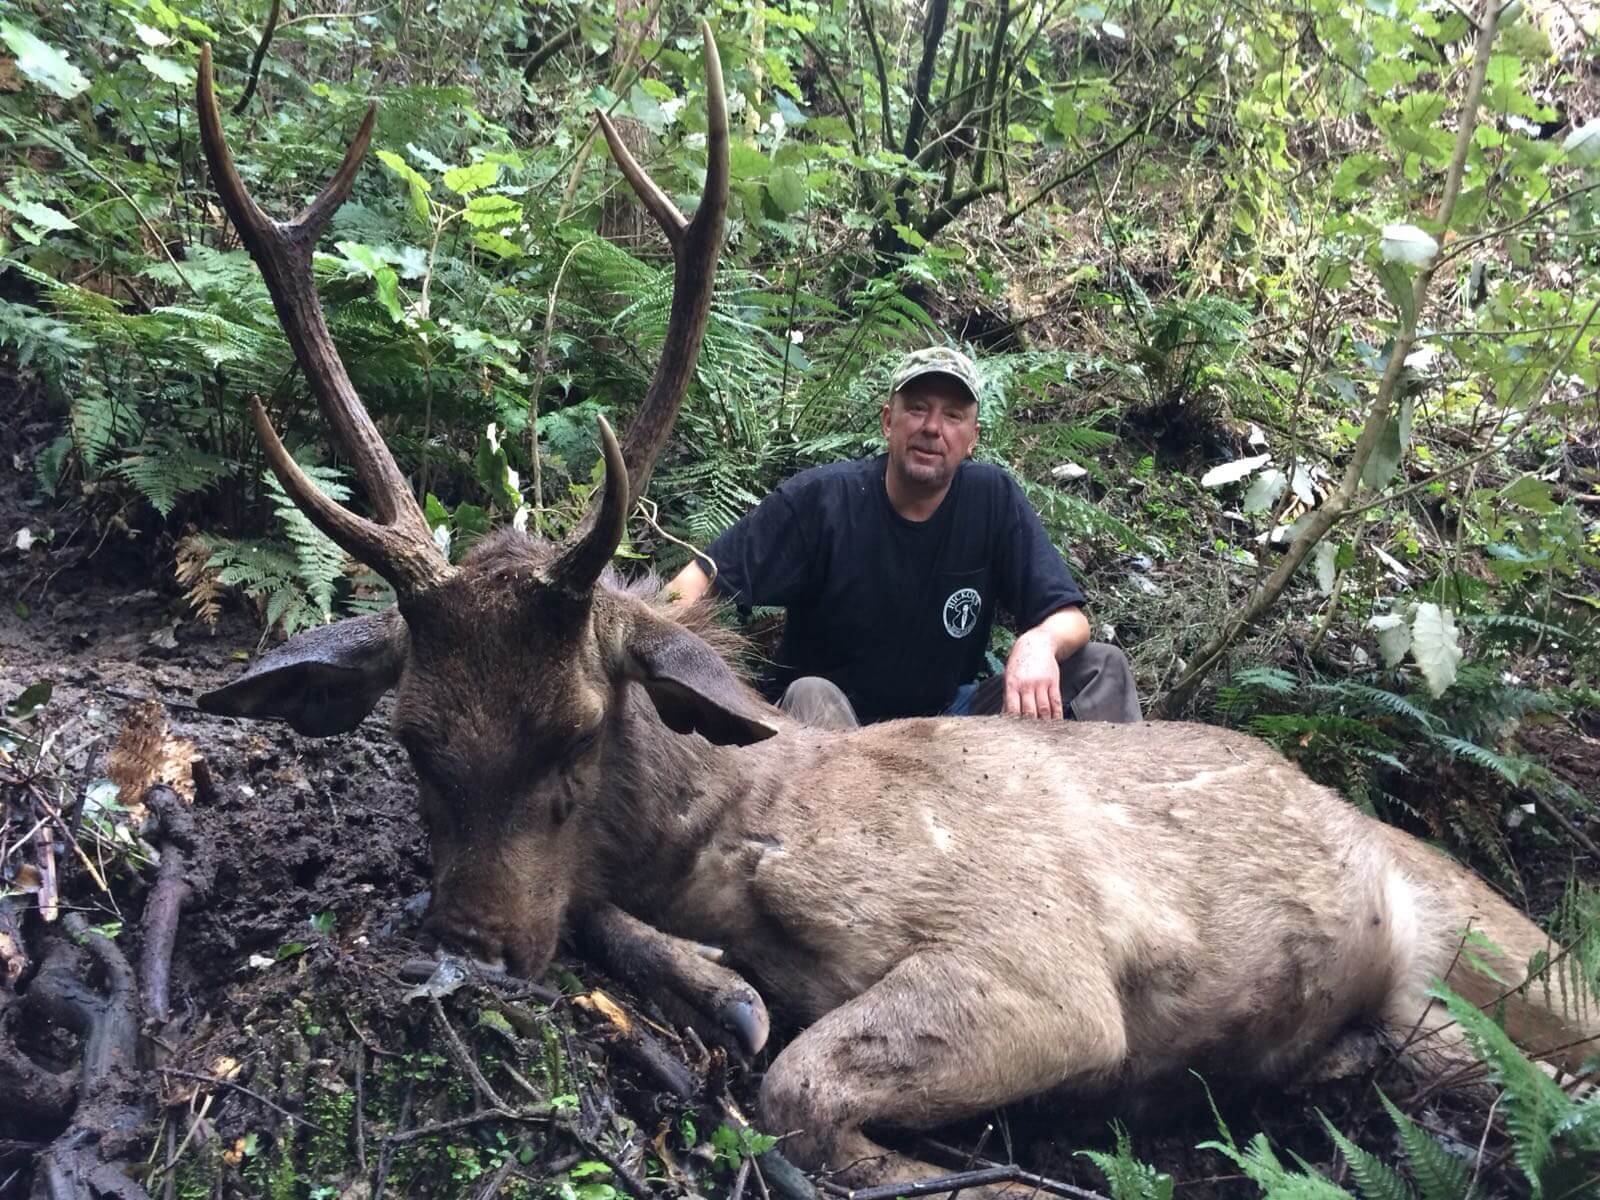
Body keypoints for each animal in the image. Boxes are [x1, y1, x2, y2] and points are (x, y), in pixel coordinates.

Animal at [200, 32, 1600, 1196]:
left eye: (580, 728)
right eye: (409, 737)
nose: (472, 943)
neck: (746, 842)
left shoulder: (1037, 959)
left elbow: (800, 1089)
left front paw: (963, 1165)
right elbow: (713, 1001)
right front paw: (725, 993)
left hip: (1494, 939)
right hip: (1433, 1016)